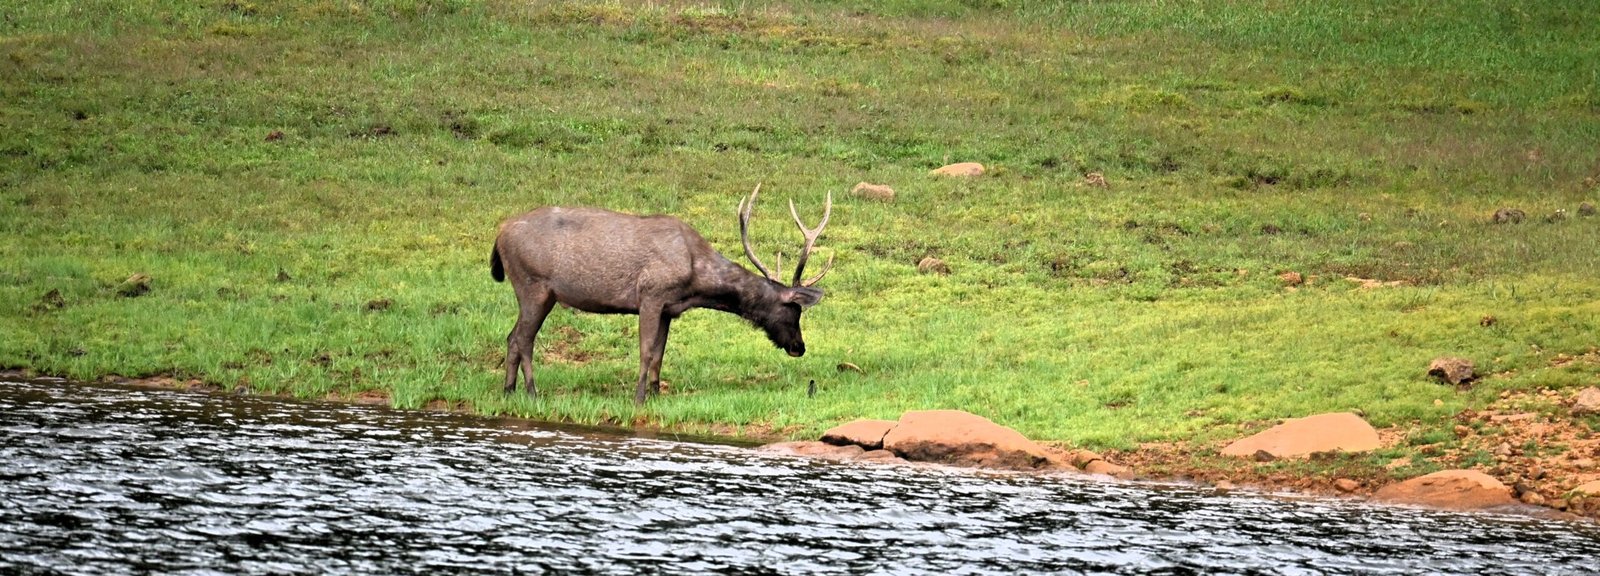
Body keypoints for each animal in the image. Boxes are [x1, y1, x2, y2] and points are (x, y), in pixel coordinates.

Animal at [489, 184, 834, 405]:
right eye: (794, 310)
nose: (799, 347)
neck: (696, 279)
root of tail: (499, 234)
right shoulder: (651, 295)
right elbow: (645, 351)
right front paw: (639, 398)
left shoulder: (670, 308)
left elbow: (660, 353)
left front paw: (656, 394)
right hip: (533, 284)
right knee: (524, 339)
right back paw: (531, 393)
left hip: (537, 292)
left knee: (512, 337)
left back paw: (508, 391)